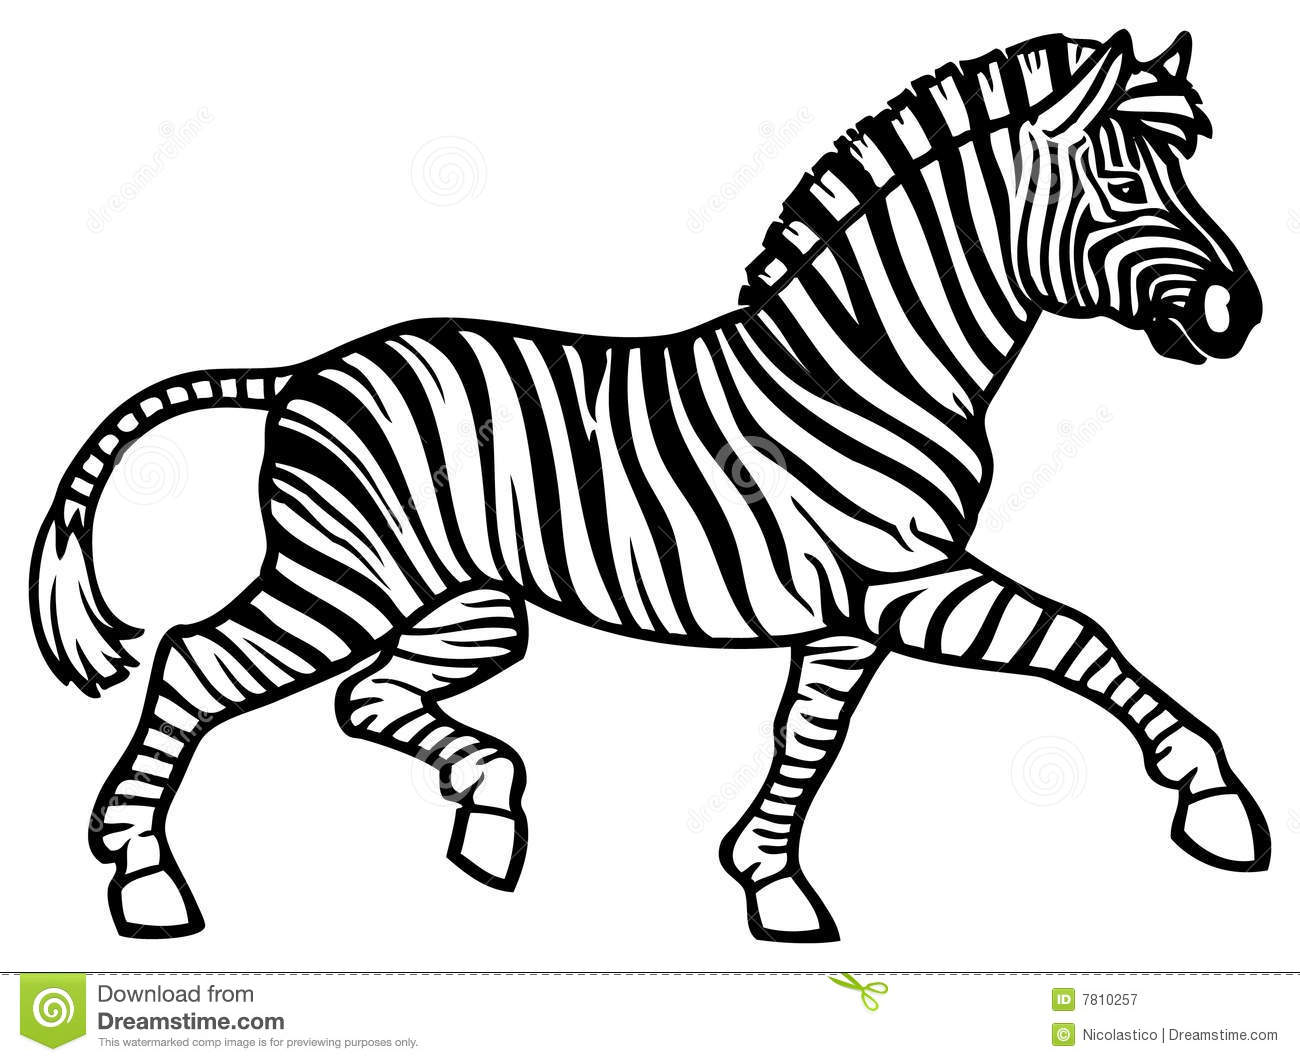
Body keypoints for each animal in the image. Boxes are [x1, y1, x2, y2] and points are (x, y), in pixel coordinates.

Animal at [31, 29, 1268, 942]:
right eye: (1123, 181)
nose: (1239, 316)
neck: (875, 356)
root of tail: (302, 369)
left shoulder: (847, 614)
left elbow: (808, 736)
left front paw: (768, 882)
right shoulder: (902, 581)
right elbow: (1081, 640)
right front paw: (1214, 802)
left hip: (468, 605)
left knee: (367, 698)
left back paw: (487, 811)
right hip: (344, 580)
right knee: (198, 662)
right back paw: (142, 877)